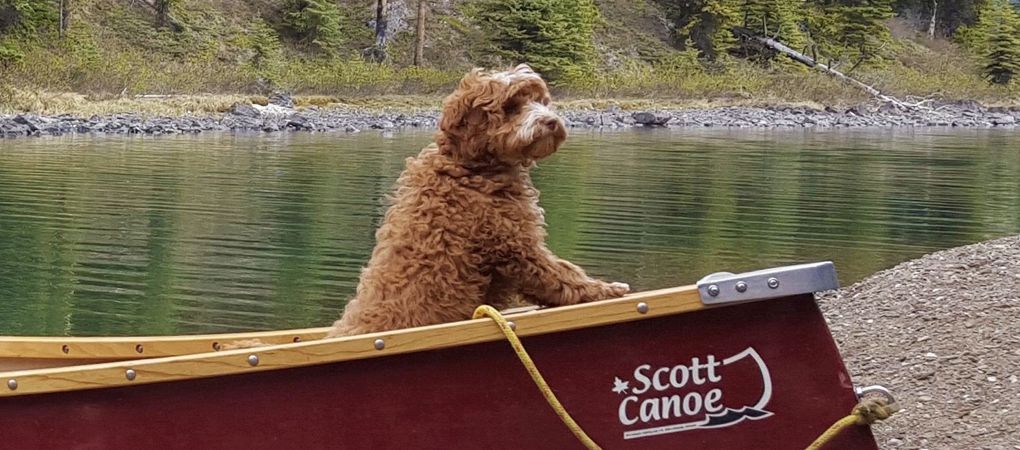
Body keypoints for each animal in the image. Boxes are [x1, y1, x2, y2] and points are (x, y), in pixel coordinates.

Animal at [326, 64, 628, 336]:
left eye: (539, 101)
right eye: (511, 107)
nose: (551, 122)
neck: (470, 169)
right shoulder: (516, 245)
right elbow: (562, 276)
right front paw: (606, 289)